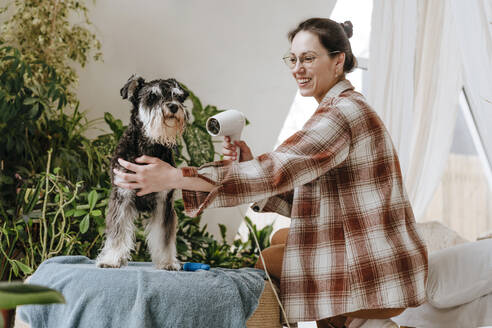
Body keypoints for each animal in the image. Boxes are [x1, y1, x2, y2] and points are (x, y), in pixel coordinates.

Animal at [95, 75, 188, 270]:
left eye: (177, 96)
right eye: (152, 96)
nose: (173, 107)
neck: (149, 146)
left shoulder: (163, 202)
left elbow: (164, 237)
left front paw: (168, 262)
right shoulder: (122, 196)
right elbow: (118, 232)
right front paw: (110, 259)